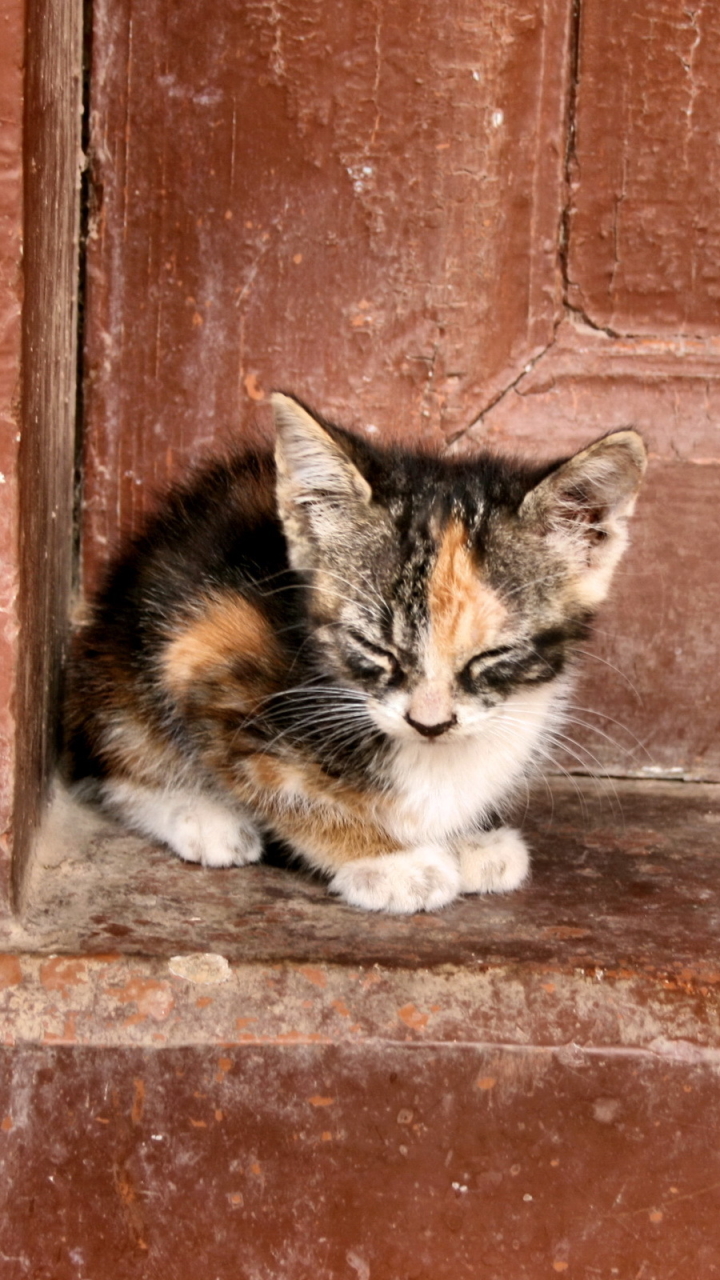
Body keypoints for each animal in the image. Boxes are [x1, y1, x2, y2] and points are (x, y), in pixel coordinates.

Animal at [63, 396, 645, 911]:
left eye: (493, 654)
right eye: (373, 647)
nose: (430, 724)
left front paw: (462, 840)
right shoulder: (206, 650)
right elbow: (284, 790)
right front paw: (388, 859)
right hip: (130, 655)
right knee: (120, 756)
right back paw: (201, 817)